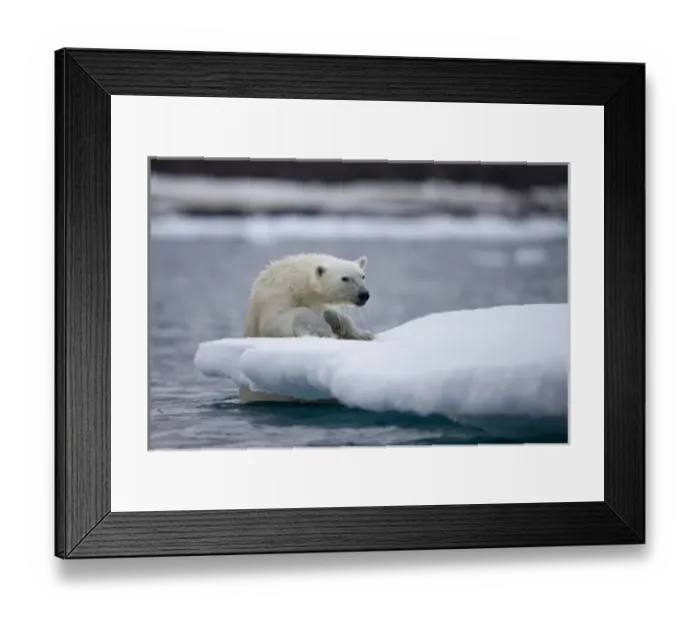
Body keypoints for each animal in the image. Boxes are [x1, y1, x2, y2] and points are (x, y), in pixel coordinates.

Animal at [244, 253, 373, 341]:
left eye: (363, 276)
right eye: (345, 278)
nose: (364, 294)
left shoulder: (317, 301)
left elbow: (334, 314)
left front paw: (364, 334)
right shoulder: (275, 296)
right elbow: (275, 322)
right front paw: (328, 332)